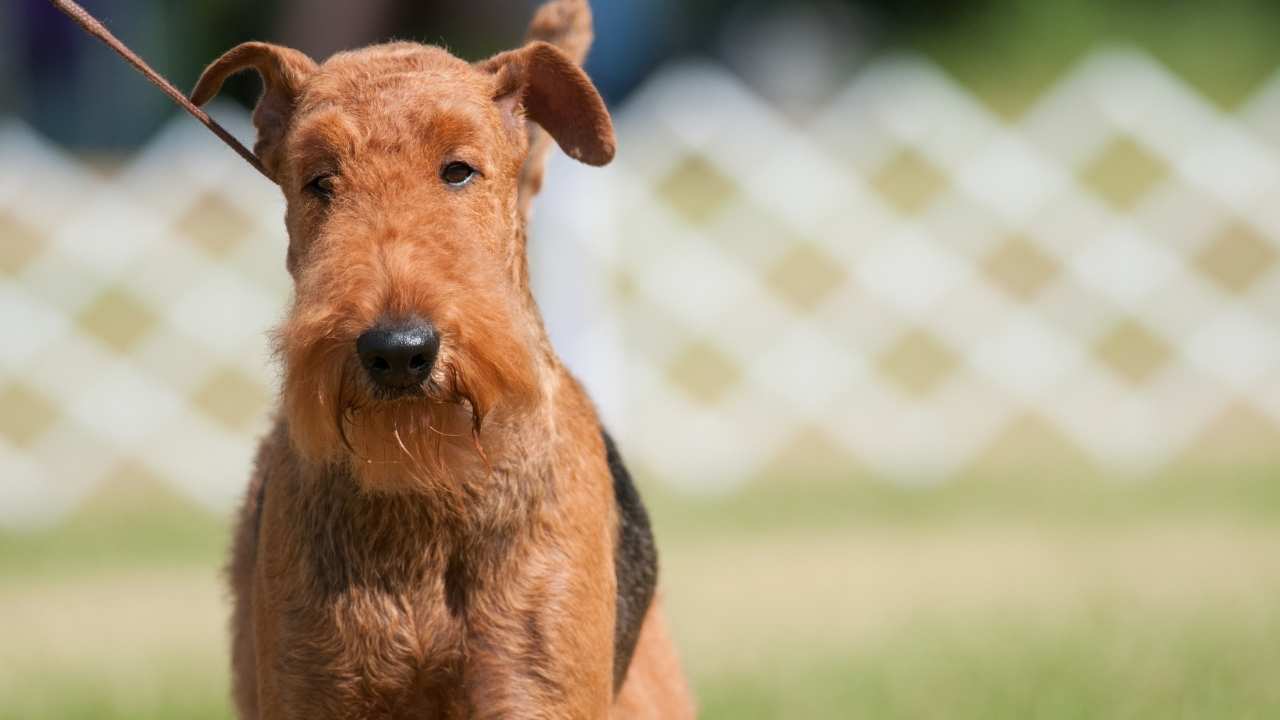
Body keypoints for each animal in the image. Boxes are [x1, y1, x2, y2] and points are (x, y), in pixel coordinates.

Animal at [186, 0, 691, 712]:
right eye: (319, 180)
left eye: (458, 169)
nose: (399, 351)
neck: (427, 493)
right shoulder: (314, 690)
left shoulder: (532, 691)